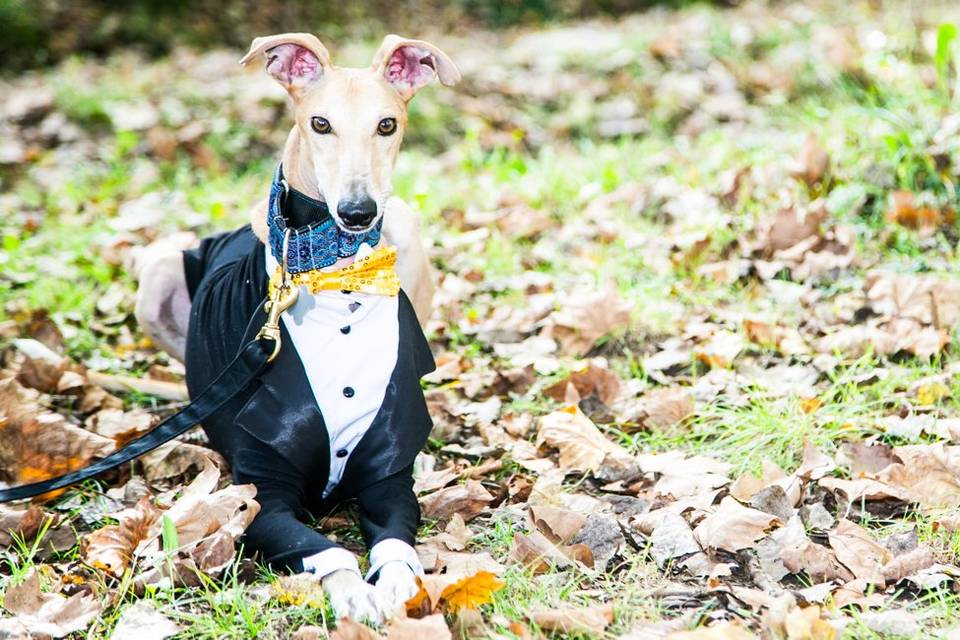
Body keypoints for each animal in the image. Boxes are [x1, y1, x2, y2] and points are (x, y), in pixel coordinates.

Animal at [135, 32, 462, 624]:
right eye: (320, 123)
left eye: (387, 124)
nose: (357, 213)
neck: (335, 269)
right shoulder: (262, 494)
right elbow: (325, 549)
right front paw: (354, 591)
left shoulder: (388, 482)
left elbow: (395, 542)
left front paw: (399, 585)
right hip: (158, 273)